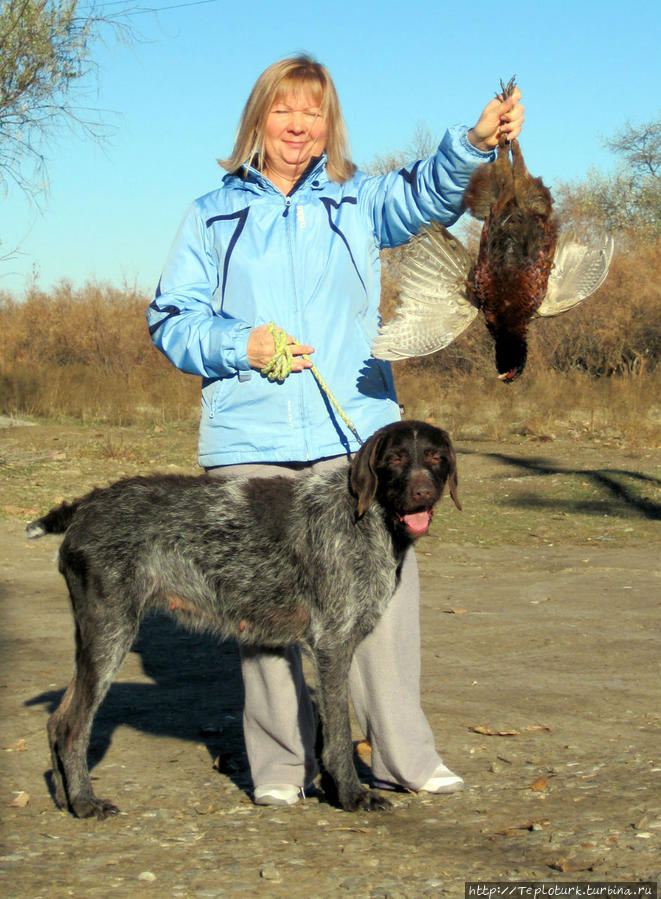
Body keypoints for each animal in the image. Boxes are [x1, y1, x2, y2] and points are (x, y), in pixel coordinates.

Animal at [27, 418, 458, 820]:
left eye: (435, 457)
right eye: (395, 459)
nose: (422, 493)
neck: (367, 516)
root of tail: (86, 504)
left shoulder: (335, 645)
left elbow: (326, 729)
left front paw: (336, 790)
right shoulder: (332, 643)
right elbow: (337, 731)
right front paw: (351, 795)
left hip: (98, 638)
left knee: (56, 721)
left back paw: (66, 799)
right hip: (111, 631)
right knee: (71, 726)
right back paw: (85, 802)